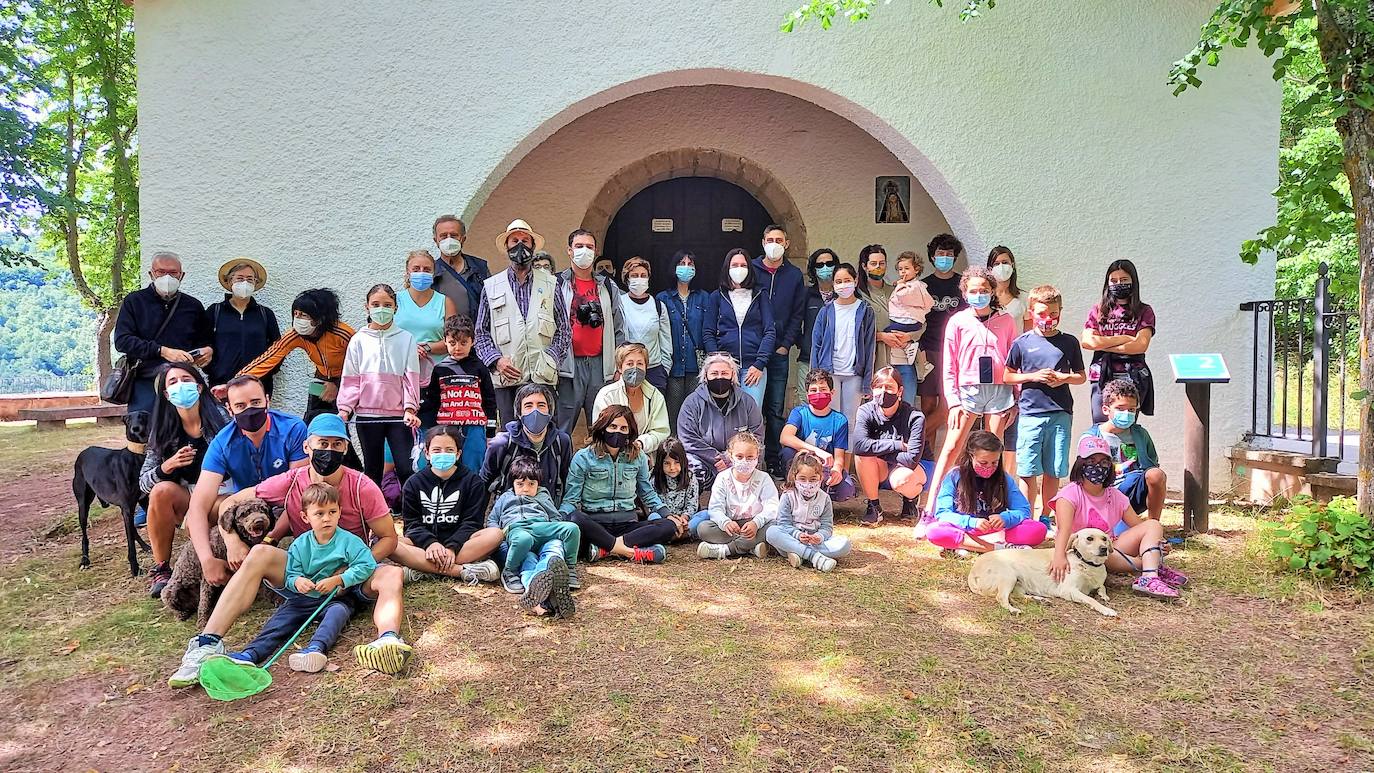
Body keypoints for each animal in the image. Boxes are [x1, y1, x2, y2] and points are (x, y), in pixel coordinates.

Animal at [72, 411, 151, 573]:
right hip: (83, 504)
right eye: (128, 419)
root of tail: (84, 451)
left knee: (132, 529)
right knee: (84, 534)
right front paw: (135, 569)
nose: (135, 429)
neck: (137, 456)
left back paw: (145, 546)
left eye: (142, 416)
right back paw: (85, 559)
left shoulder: (143, 501)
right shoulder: (127, 507)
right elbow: (130, 544)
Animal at [967, 527, 1115, 617]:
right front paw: (1106, 609)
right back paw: (1013, 610)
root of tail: (973, 571)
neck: (1089, 565)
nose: (1103, 549)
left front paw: (1103, 595)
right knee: (1002, 598)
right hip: (1009, 575)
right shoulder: (1068, 590)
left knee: (1017, 596)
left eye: (1104, 539)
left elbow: (1102, 586)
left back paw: (1040, 600)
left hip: (1017, 583)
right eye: (1089, 538)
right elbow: (1091, 599)